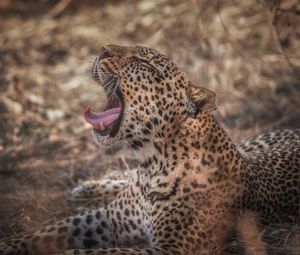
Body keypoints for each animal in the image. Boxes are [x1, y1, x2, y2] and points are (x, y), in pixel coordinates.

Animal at [0, 44, 298, 254]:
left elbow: (93, 253)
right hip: (249, 144)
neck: (151, 166)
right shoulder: (105, 218)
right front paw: (7, 245)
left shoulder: (172, 249)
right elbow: (44, 233)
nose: (103, 49)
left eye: (144, 63)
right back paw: (87, 187)